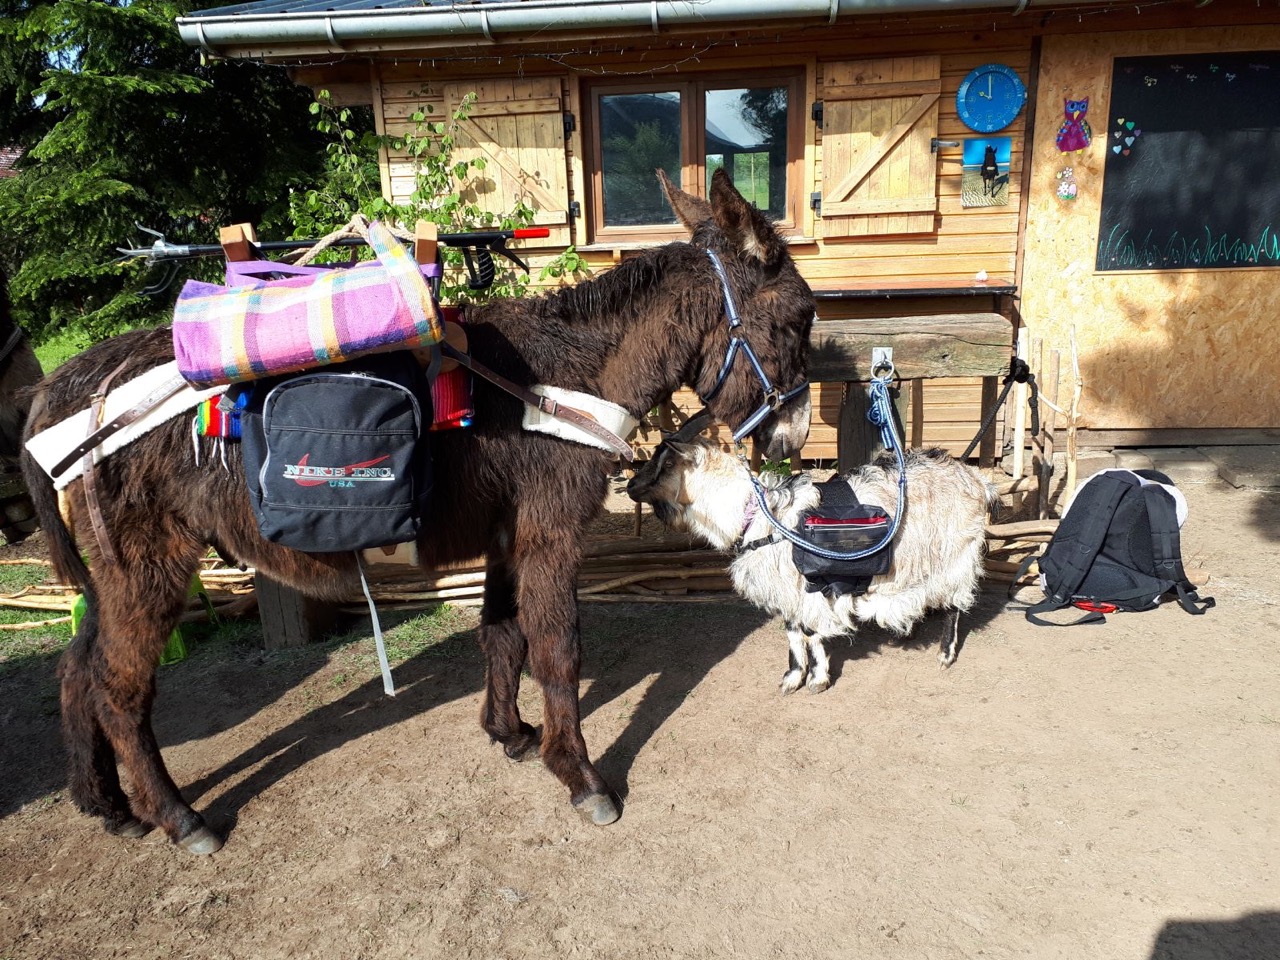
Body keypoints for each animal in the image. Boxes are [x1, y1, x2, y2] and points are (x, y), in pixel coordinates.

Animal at [624, 432, 993, 696]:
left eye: (663, 464)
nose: (628, 485)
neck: (757, 515)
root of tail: (977, 479)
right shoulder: (787, 591)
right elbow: (792, 632)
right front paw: (792, 677)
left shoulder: (810, 587)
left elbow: (812, 633)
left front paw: (817, 678)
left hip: (955, 554)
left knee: (954, 604)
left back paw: (945, 653)